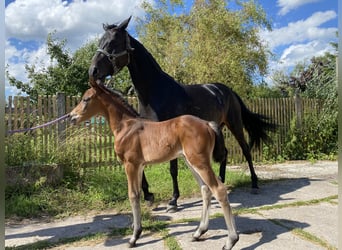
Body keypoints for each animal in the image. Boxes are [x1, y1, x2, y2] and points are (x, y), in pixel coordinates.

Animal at [69, 82, 239, 248]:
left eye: (86, 99)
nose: (71, 117)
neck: (126, 126)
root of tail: (208, 124)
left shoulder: (130, 164)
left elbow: (132, 195)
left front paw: (134, 237)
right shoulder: (139, 166)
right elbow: (138, 194)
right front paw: (137, 228)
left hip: (199, 161)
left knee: (219, 189)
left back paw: (231, 240)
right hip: (191, 161)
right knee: (205, 189)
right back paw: (199, 232)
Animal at [88, 16, 276, 211]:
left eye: (113, 42)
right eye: (100, 41)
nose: (93, 71)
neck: (155, 92)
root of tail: (227, 91)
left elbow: (173, 169)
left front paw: (173, 200)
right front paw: (148, 196)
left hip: (235, 124)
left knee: (246, 150)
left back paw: (254, 184)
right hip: (219, 126)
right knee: (224, 153)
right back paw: (221, 182)